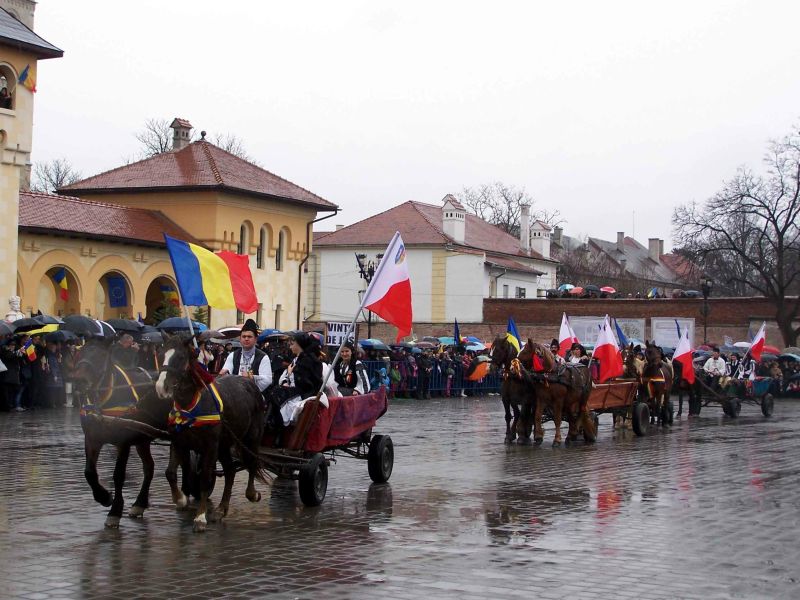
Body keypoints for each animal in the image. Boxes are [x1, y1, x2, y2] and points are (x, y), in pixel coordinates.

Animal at [73, 344, 170, 528]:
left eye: (101, 355)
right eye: (80, 352)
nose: (80, 380)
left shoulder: (123, 441)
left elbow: (118, 475)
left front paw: (115, 511)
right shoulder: (92, 437)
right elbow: (89, 472)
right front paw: (103, 497)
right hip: (143, 439)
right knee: (149, 467)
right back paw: (140, 504)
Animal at [155, 332, 268, 536]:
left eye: (181, 357)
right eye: (160, 355)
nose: (162, 387)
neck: (192, 405)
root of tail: (249, 382)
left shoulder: (210, 446)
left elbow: (206, 479)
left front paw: (200, 517)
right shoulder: (178, 441)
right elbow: (170, 473)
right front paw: (181, 499)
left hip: (250, 438)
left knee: (252, 462)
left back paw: (252, 493)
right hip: (224, 445)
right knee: (230, 471)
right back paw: (221, 509)